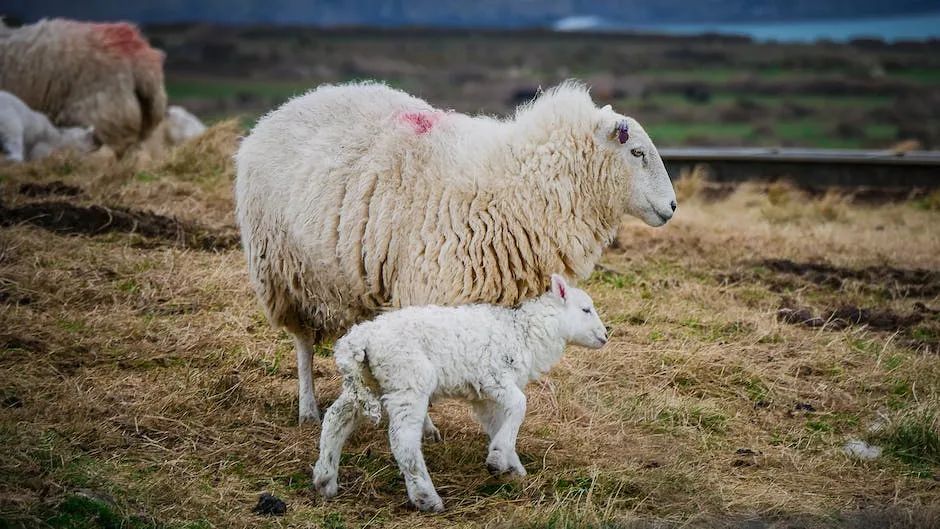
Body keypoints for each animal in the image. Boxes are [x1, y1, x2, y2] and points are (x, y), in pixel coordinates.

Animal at [312, 272, 604, 512]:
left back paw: (325, 478)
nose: (606, 335)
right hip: (408, 379)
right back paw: (426, 498)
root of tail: (360, 338)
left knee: (336, 418)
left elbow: (498, 423)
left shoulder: (484, 396)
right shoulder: (493, 377)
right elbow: (520, 405)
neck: (525, 332)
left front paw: (511, 465)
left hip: (367, 381)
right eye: (586, 309)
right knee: (403, 440)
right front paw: (499, 458)